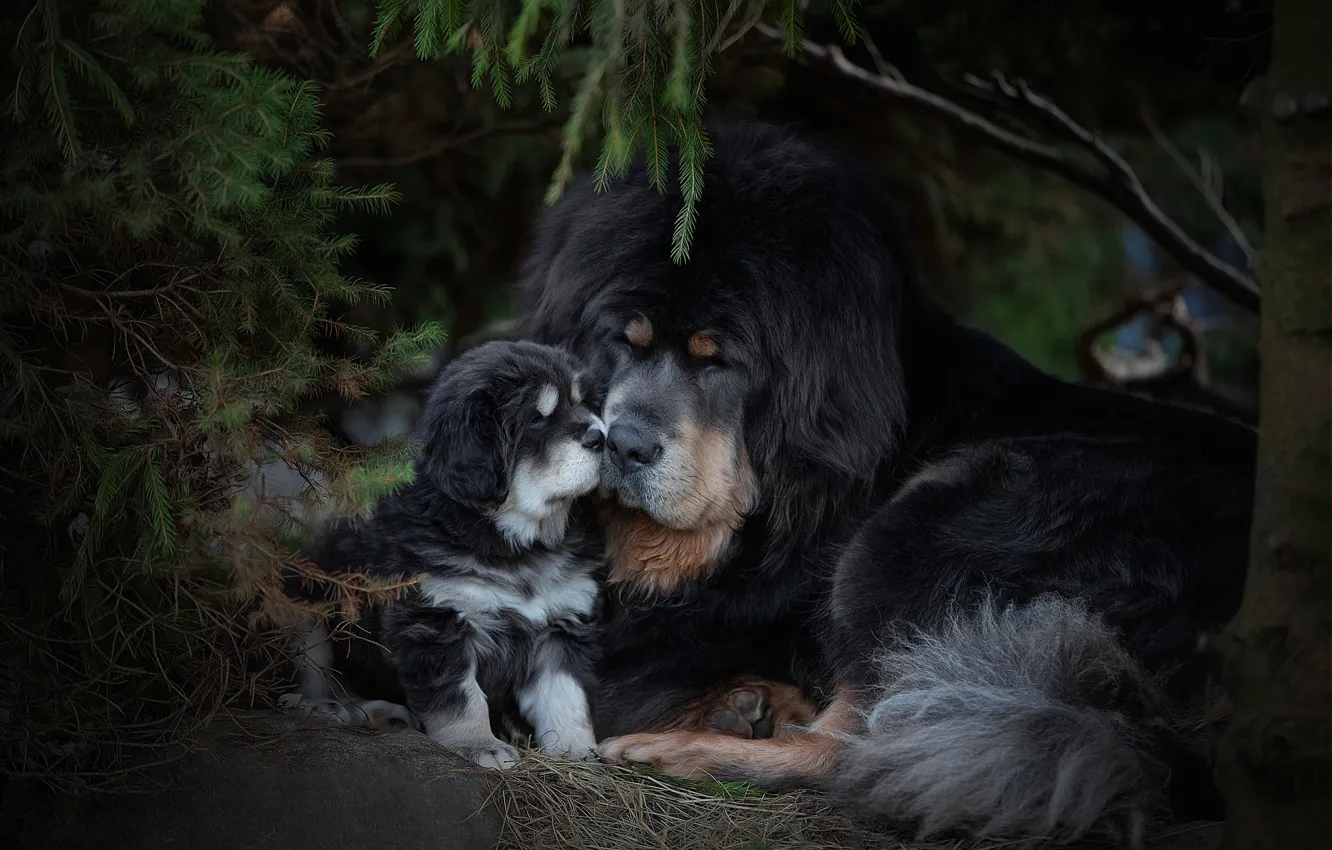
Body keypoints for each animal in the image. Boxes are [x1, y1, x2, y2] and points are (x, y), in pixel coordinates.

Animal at [291, 341, 610, 772]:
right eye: (537, 419)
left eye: (584, 403)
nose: (604, 438)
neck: (514, 543)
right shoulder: (434, 622)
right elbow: (461, 698)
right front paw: (480, 747)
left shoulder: (561, 625)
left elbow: (566, 699)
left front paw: (578, 754)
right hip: (302, 609)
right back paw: (320, 707)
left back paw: (380, 714)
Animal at [514, 123, 1252, 847]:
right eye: (622, 339)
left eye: (717, 360)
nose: (626, 444)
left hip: (933, 521)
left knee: (872, 750)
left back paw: (685, 751)